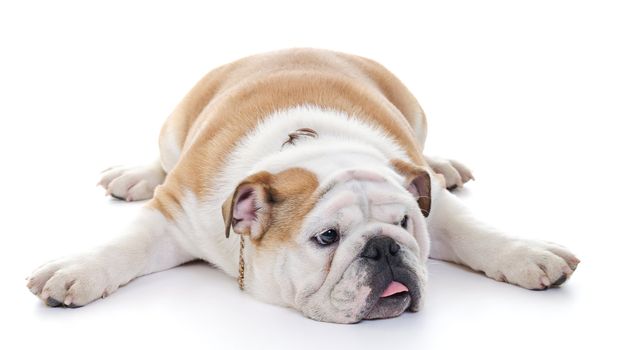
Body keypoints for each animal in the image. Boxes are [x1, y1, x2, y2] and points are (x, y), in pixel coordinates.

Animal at [25, 48, 580, 322]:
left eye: (403, 222)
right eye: (326, 238)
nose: (383, 247)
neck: (314, 150)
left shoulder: (432, 205)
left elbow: (473, 232)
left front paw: (528, 254)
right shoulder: (175, 214)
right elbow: (126, 245)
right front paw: (76, 271)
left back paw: (441, 162)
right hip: (173, 129)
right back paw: (135, 175)